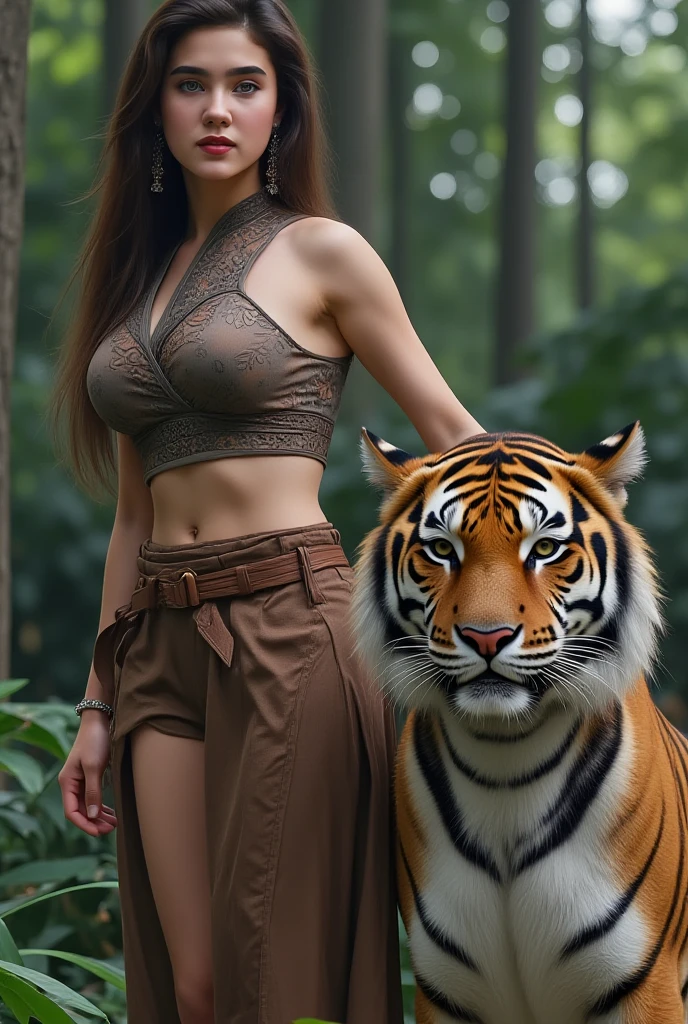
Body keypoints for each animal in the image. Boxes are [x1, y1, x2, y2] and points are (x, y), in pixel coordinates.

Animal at [350, 421, 688, 1024]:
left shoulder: (644, 982)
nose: (487, 637)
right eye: (442, 549)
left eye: (545, 549)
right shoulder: (446, 991)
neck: (504, 758)